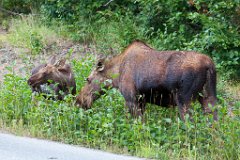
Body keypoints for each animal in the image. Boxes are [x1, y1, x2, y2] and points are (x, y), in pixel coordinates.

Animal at [76, 40, 218, 120]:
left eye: (88, 79)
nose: (79, 101)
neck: (116, 75)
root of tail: (209, 65)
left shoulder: (131, 98)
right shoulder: (142, 99)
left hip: (184, 99)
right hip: (208, 96)